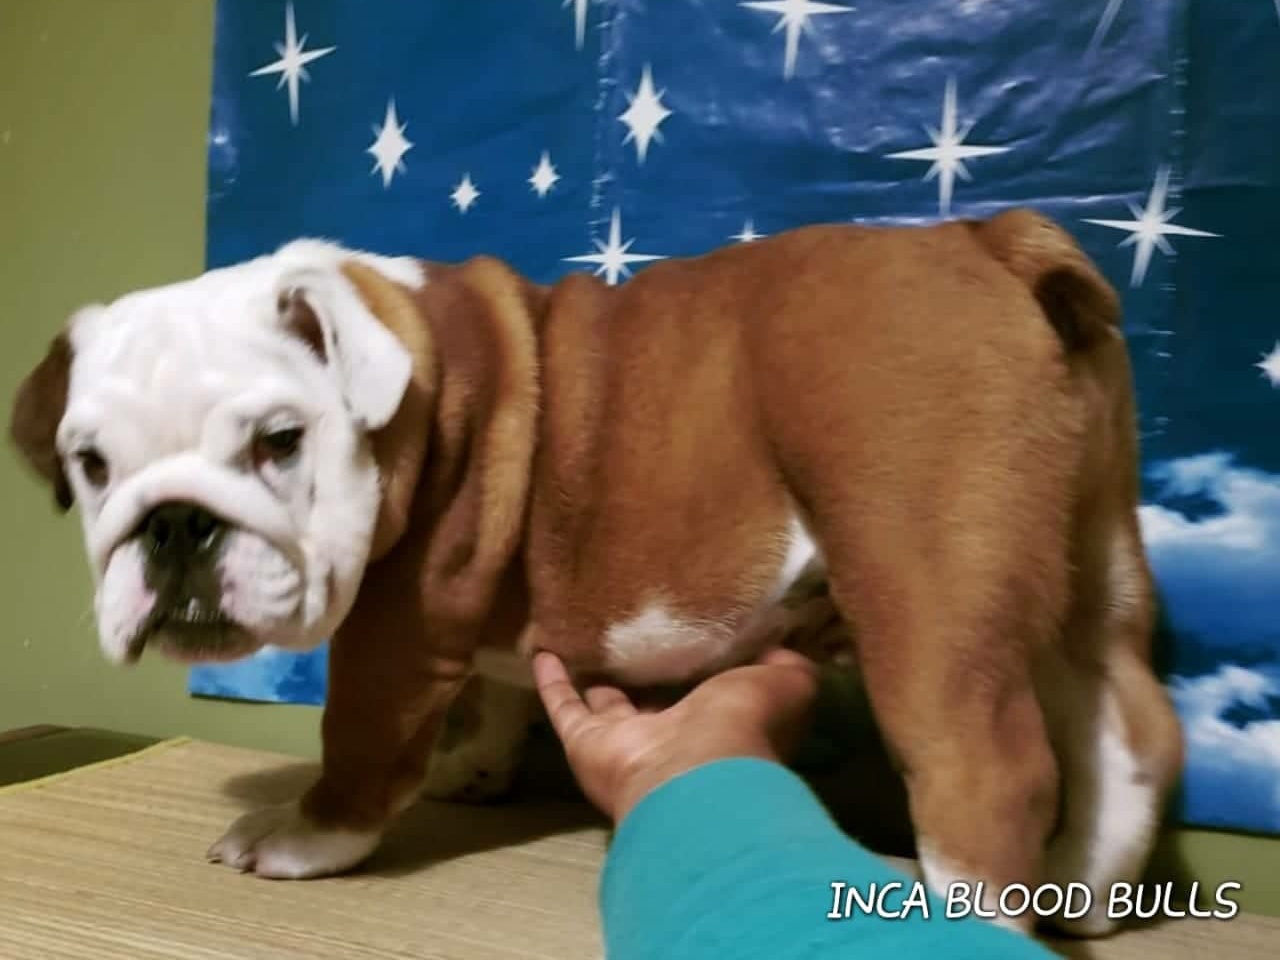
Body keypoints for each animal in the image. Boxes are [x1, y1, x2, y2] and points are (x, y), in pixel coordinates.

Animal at [10, 210, 1183, 936]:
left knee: (986, 763)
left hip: (923, 578)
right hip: (1089, 550)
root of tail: (988, 241)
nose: (172, 526)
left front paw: (306, 835)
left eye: (280, 442)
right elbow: (492, 689)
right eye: (92, 466)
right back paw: (1083, 889)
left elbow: (360, 736)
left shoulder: (394, 624)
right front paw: (474, 767)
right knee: (1125, 723)